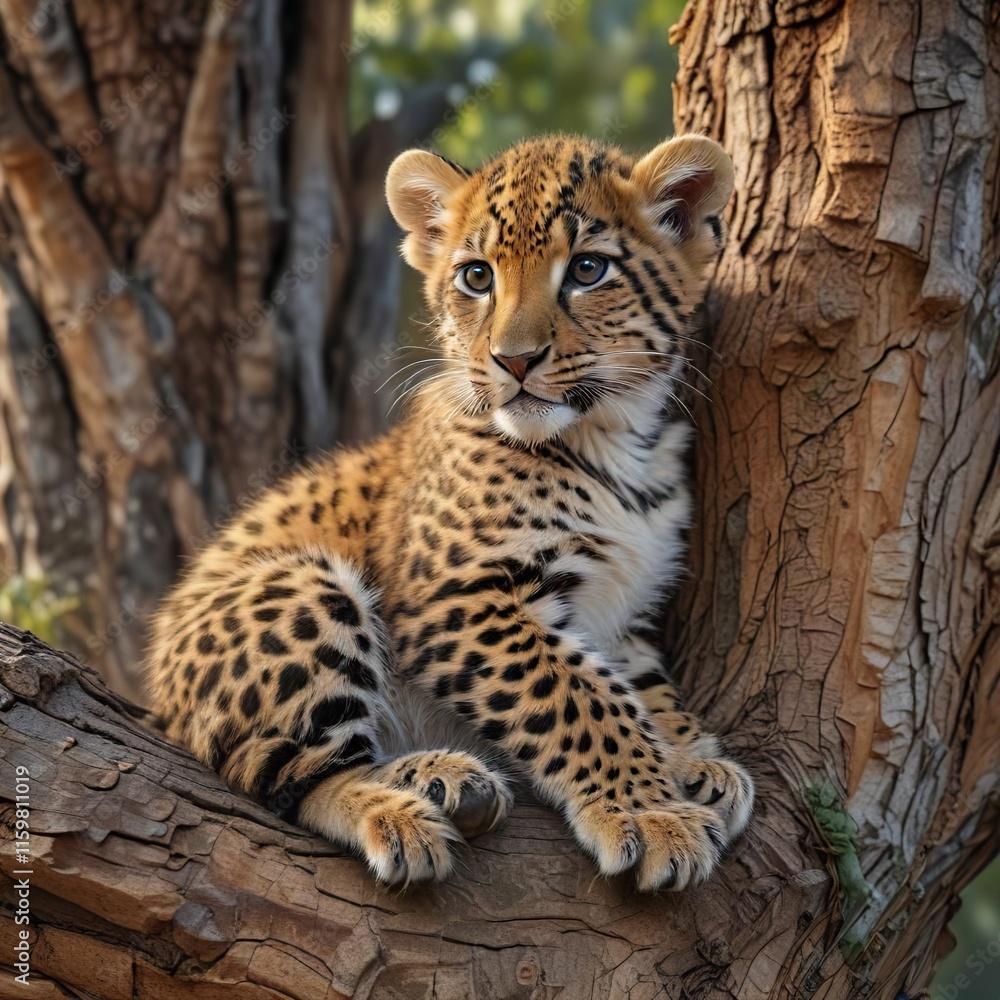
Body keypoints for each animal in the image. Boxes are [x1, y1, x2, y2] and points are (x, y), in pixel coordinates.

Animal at [147, 132, 754, 892]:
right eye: (476, 277)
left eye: (588, 269)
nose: (514, 360)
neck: (617, 442)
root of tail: (157, 701)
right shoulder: (458, 596)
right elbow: (582, 699)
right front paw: (651, 813)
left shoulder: (625, 605)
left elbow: (642, 688)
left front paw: (692, 761)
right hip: (304, 587)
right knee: (299, 778)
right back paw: (410, 806)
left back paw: (447, 784)